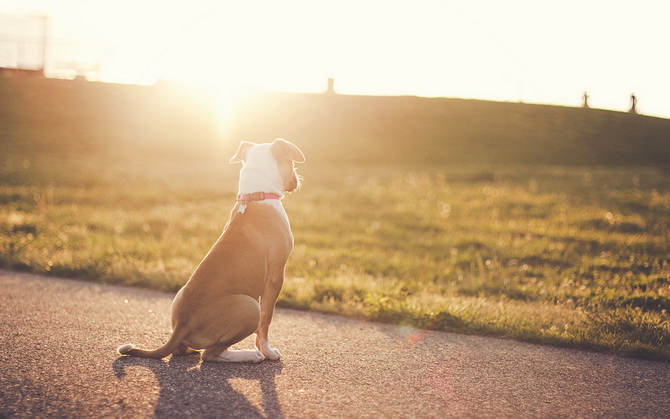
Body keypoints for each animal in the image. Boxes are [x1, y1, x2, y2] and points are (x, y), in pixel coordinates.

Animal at [119, 139, 308, 362]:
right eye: (291, 162)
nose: (297, 179)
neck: (256, 196)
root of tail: (182, 325)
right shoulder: (275, 276)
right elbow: (266, 320)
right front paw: (267, 351)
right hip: (250, 307)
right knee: (212, 354)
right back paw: (248, 355)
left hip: (180, 298)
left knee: (181, 350)